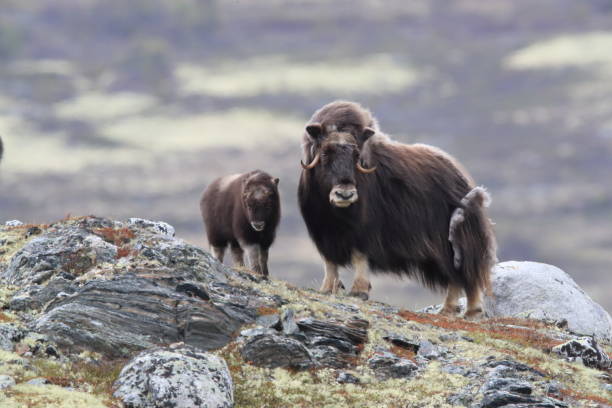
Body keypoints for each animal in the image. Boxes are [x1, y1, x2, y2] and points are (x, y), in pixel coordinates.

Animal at [300, 101, 498, 318]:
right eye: (325, 153)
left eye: (356, 155)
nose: (345, 194)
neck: (335, 214)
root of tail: (462, 176)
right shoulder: (323, 232)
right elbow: (329, 262)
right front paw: (327, 289)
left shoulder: (363, 231)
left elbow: (359, 256)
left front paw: (359, 291)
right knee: (454, 276)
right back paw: (447, 311)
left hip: (455, 239)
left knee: (467, 272)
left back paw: (470, 311)